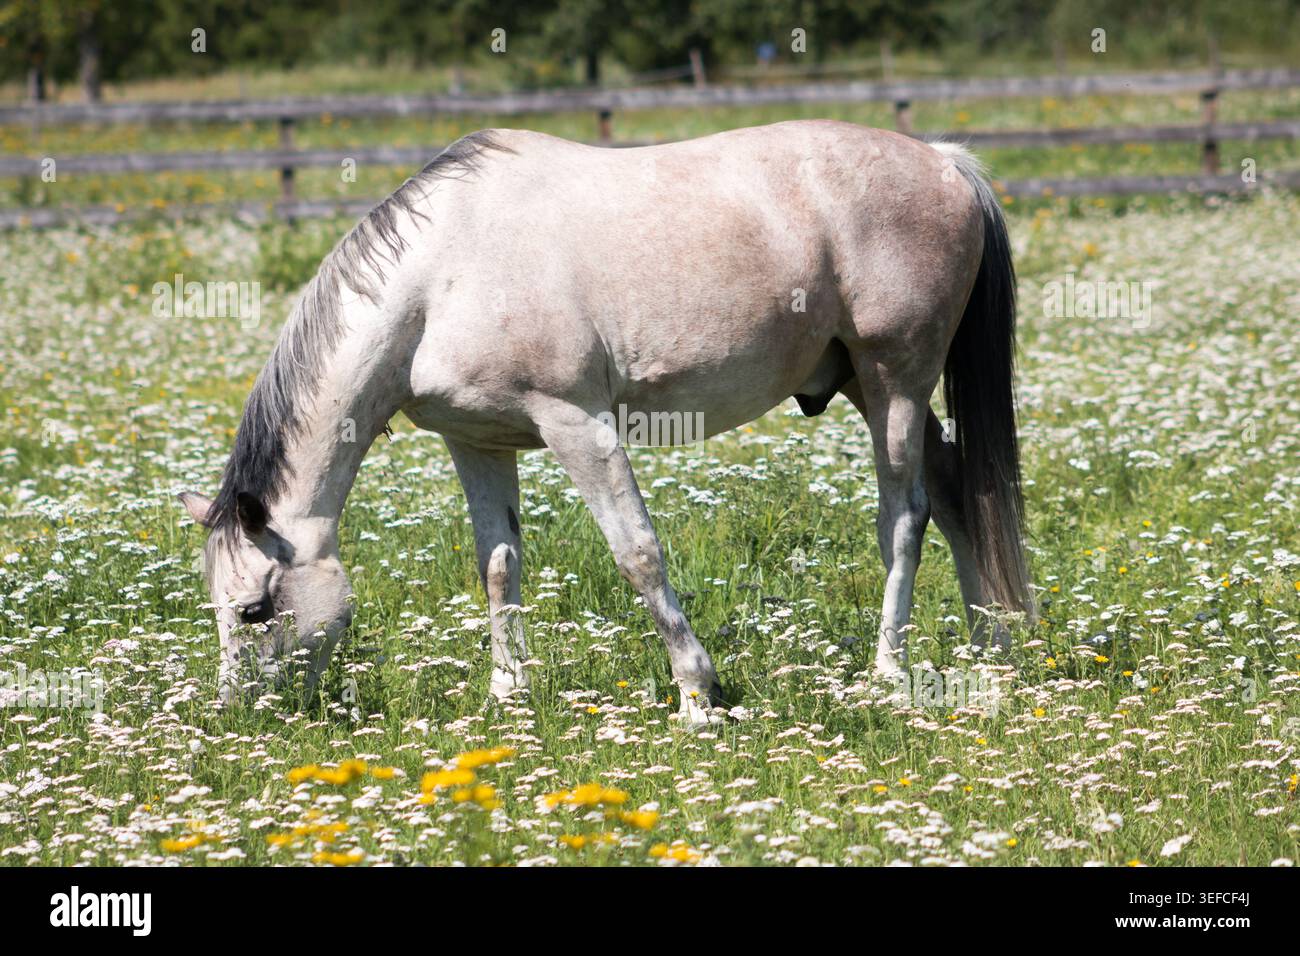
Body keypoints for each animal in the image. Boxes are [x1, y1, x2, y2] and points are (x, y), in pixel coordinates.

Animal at [177, 120, 1033, 725]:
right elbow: (498, 566)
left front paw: (697, 694)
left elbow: (637, 553)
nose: (237, 715)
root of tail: (944, 162)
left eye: (254, 608)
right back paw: (990, 647)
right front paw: (507, 692)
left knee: (905, 515)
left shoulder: (576, 425)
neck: (441, 275)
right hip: (866, 382)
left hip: (895, 383)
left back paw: (889, 670)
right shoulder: (476, 442)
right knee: (957, 494)